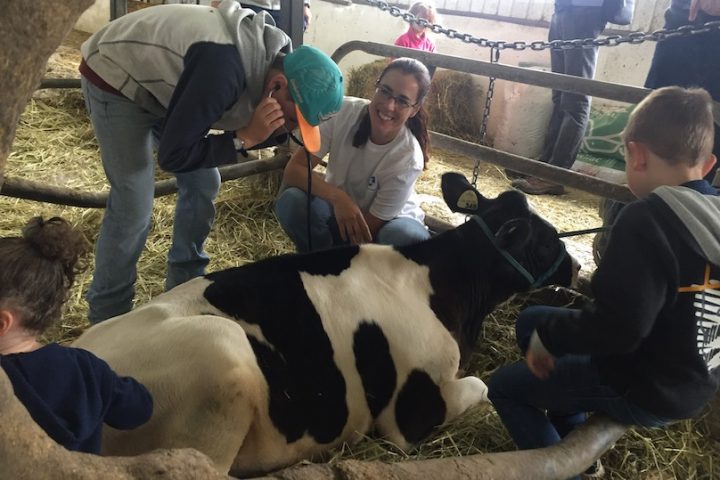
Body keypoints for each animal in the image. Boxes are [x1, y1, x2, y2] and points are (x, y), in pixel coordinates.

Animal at [71, 173, 580, 476]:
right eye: (547, 239)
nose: (576, 267)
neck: (441, 286)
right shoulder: (407, 416)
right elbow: (483, 385)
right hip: (222, 353)